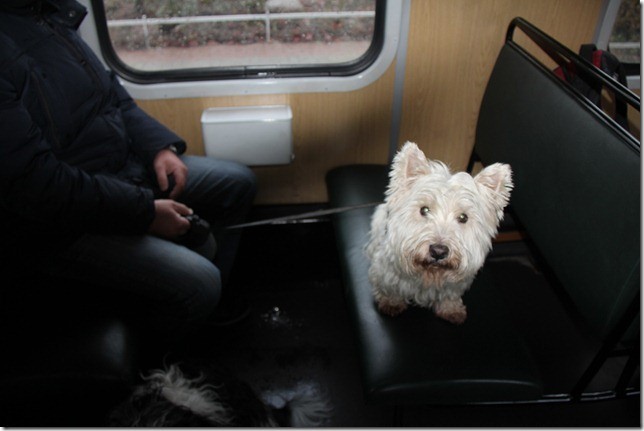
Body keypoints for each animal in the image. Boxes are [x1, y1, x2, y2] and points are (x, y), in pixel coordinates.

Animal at [368, 143, 512, 326]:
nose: (438, 251)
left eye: (463, 217)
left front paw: (451, 310)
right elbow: (390, 287)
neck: (429, 274)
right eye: (424, 210)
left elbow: (449, 295)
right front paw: (391, 303)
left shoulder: (454, 284)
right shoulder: (386, 270)